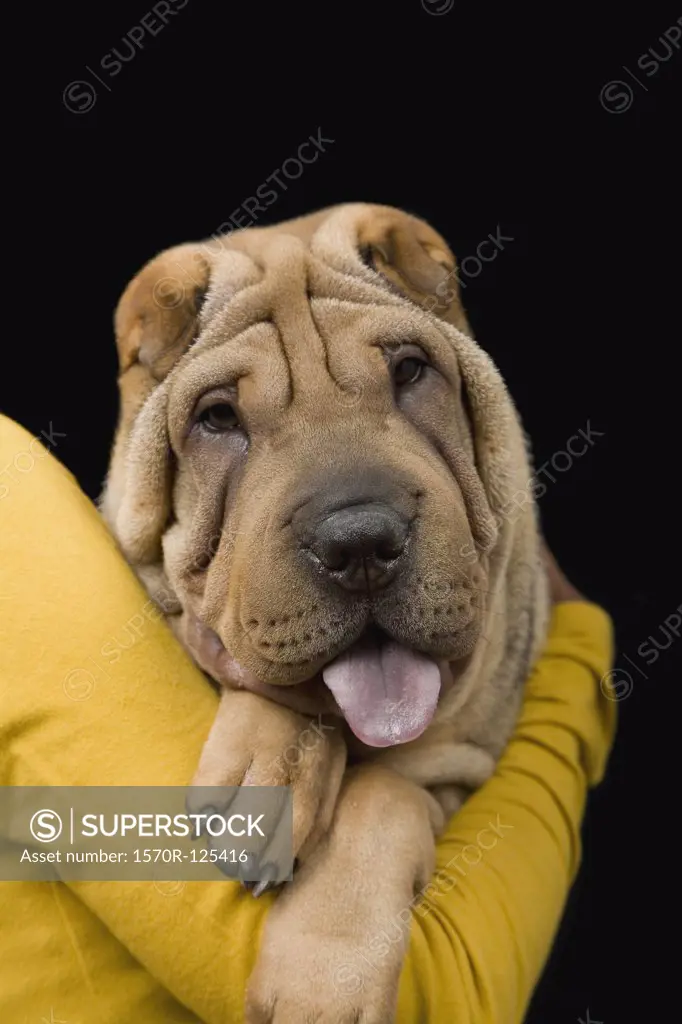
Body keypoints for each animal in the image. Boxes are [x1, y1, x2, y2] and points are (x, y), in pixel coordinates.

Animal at [100, 201, 548, 1024]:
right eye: (218, 418)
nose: (360, 542)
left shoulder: (469, 767)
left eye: (410, 372)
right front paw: (272, 776)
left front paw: (324, 981)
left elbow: (388, 794)